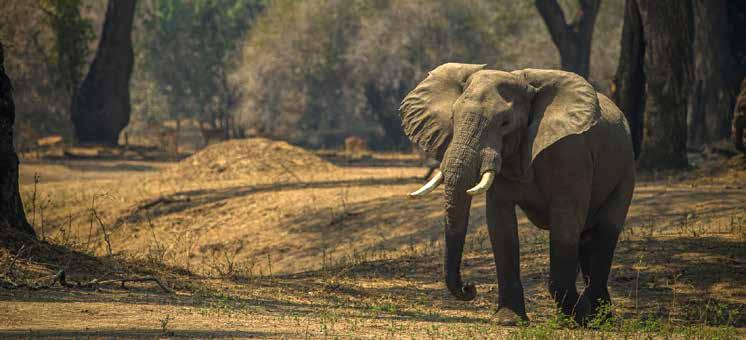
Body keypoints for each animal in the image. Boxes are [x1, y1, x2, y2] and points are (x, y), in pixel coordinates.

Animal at [402, 62, 632, 326]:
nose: (470, 288)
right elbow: (501, 226)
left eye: (505, 123)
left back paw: (597, 318)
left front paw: (579, 314)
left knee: (605, 233)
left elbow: (565, 223)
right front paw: (508, 320)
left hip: (626, 170)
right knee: (586, 236)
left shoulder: (570, 153)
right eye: (452, 118)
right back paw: (595, 316)